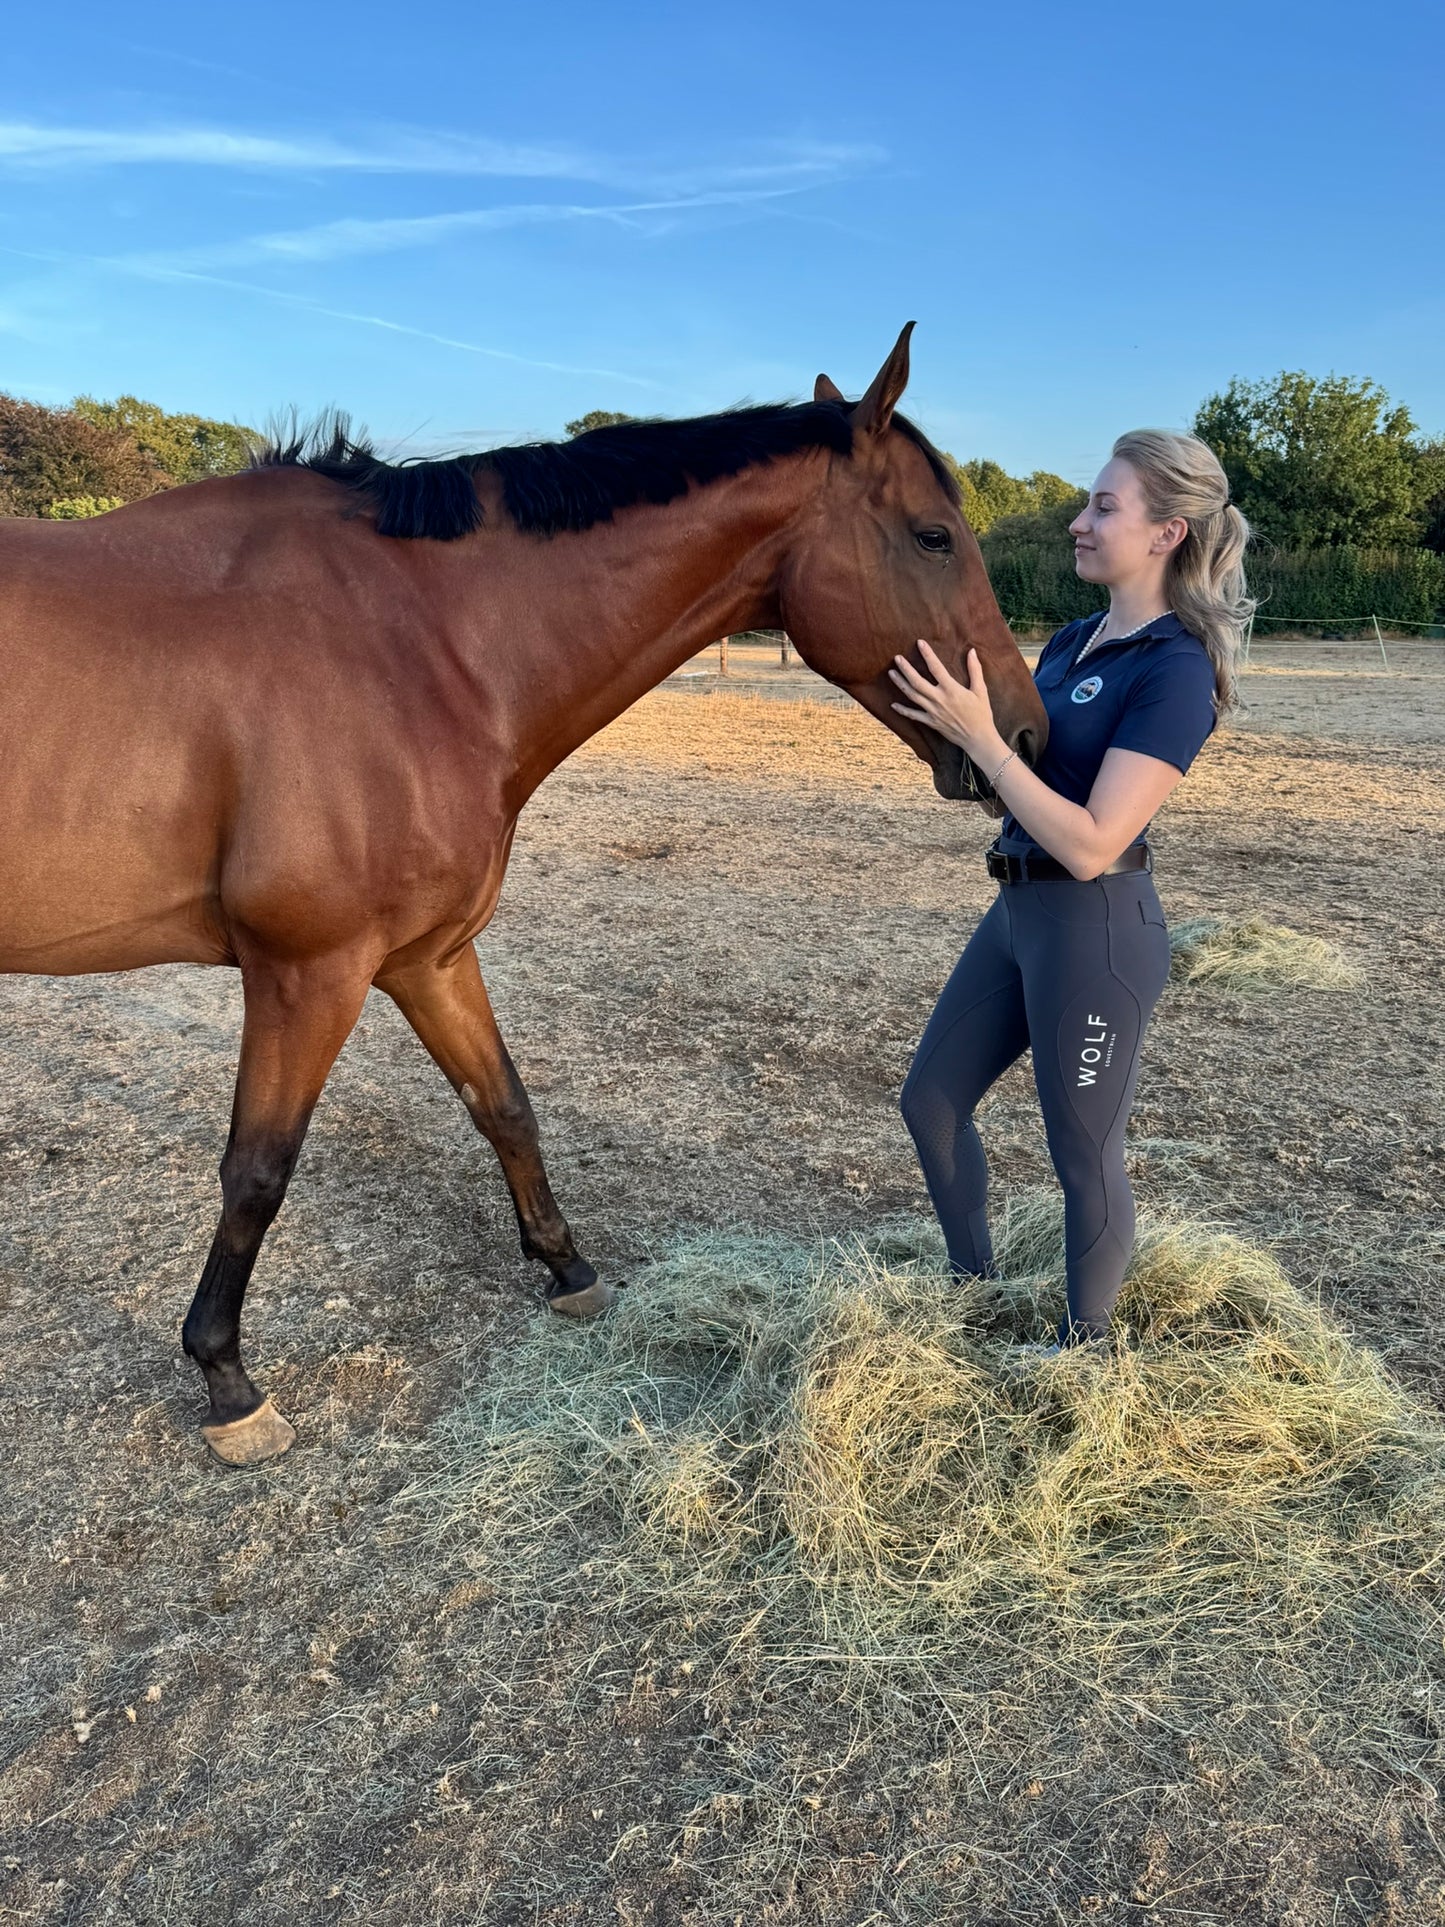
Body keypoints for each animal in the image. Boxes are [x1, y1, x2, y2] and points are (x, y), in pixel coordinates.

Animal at [0, 323, 1047, 1465]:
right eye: (933, 536)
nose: (1025, 735)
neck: (416, 646)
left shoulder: (426, 957)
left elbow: (502, 1103)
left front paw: (568, 1269)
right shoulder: (306, 973)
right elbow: (258, 1169)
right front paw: (228, 1379)